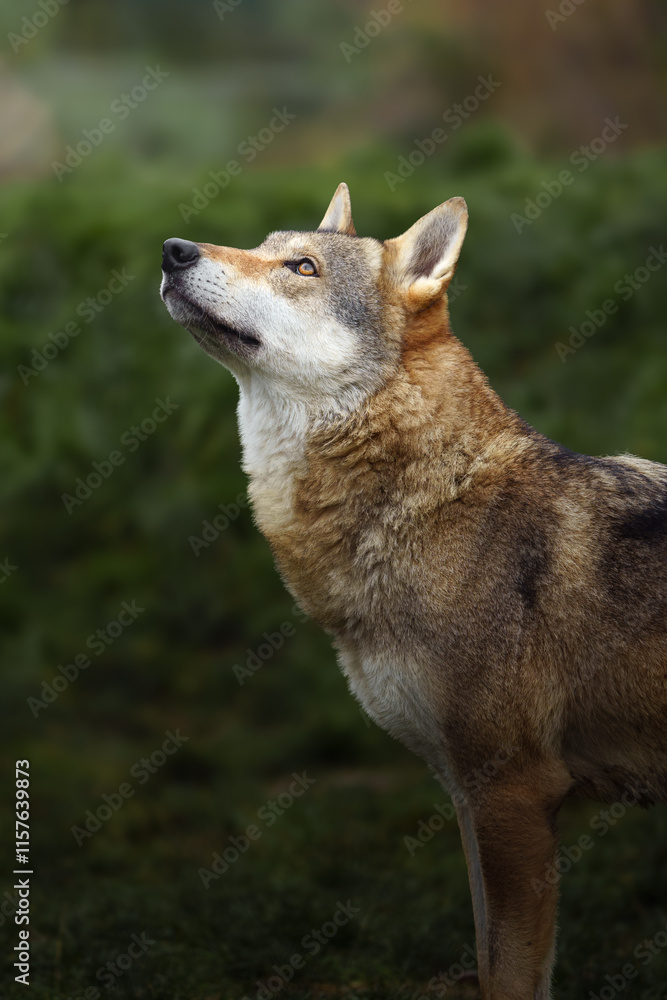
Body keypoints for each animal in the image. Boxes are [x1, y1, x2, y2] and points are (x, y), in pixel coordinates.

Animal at [160, 183, 667, 999]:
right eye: (262, 247)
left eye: (300, 266)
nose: (172, 250)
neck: (430, 503)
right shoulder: (468, 796)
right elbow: (490, 956)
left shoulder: (513, 793)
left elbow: (509, 973)